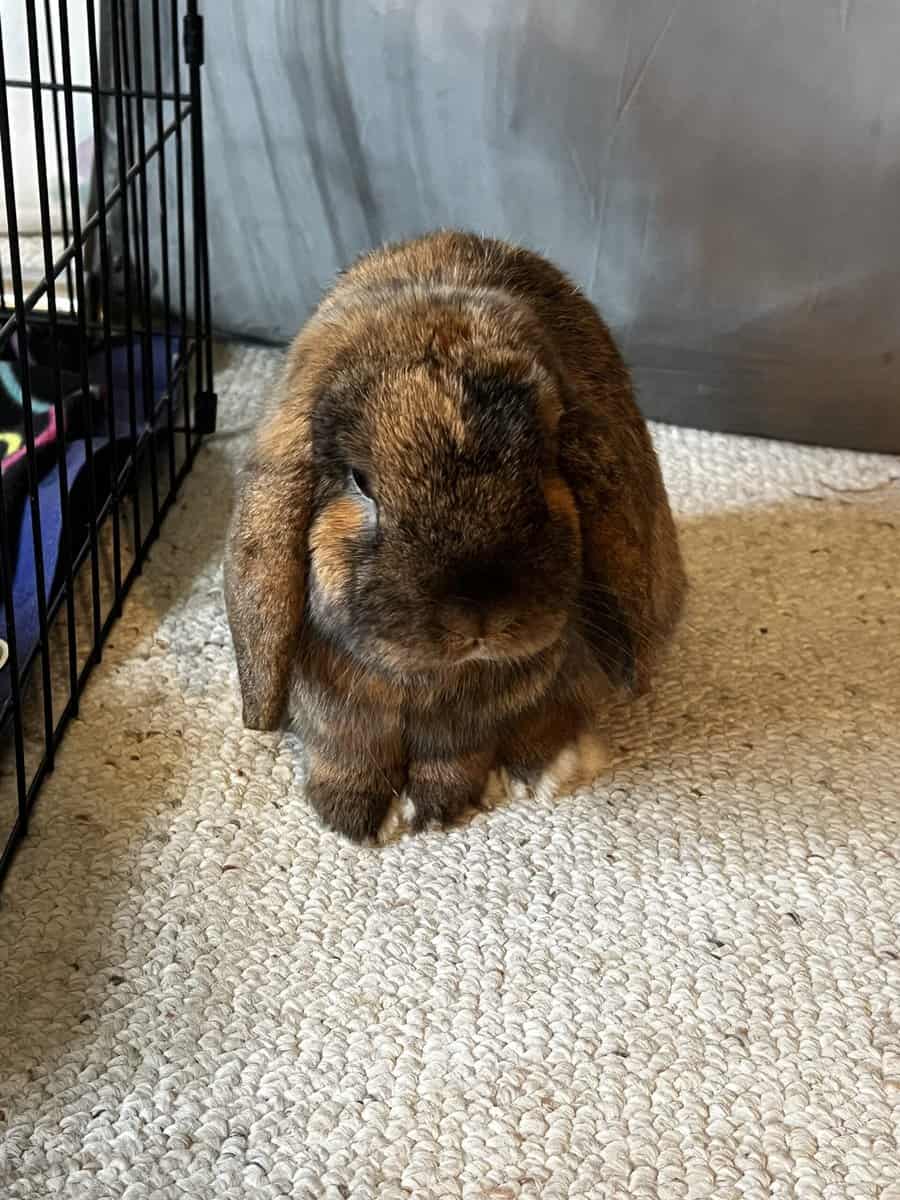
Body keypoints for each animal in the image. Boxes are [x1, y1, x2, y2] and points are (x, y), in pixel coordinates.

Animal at [224, 231, 686, 841]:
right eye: (360, 482)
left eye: (545, 463)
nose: (478, 616)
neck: (431, 677)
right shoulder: (339, 717)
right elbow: (347, 752)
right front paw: (354, 816)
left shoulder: (467, 726)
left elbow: (454, 756)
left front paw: (439, 807)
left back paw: (547, 767)